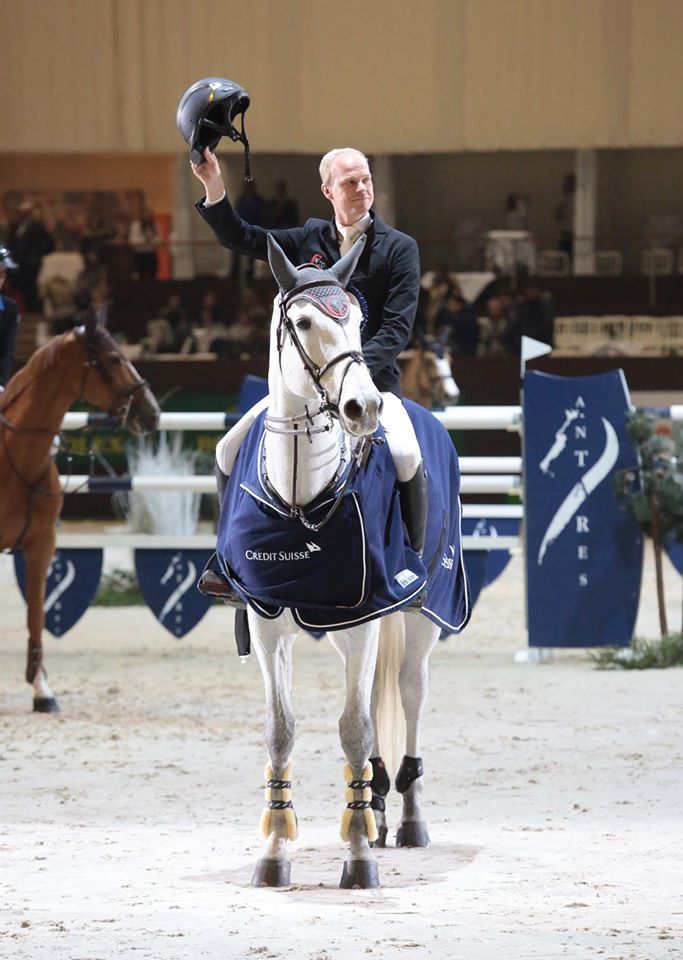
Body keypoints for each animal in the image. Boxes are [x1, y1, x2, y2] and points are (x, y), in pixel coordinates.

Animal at [1, 310, 159, 712]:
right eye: (114, 359)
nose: (152, 412)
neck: (16, 461)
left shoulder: (41, 547)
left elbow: (36, 616)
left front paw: (42, 691)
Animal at [222, 236, 472, 888]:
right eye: (305, 322)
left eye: (359, 321)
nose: (363, 406)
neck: (300, 498)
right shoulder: (268, 622)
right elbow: (281, 731)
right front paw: (273, 854)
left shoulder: (365, 623)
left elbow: (355, 730)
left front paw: (358, 856)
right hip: (337, 626)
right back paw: (379, 803)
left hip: (419, 617)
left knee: (409, 692)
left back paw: (406, 815)